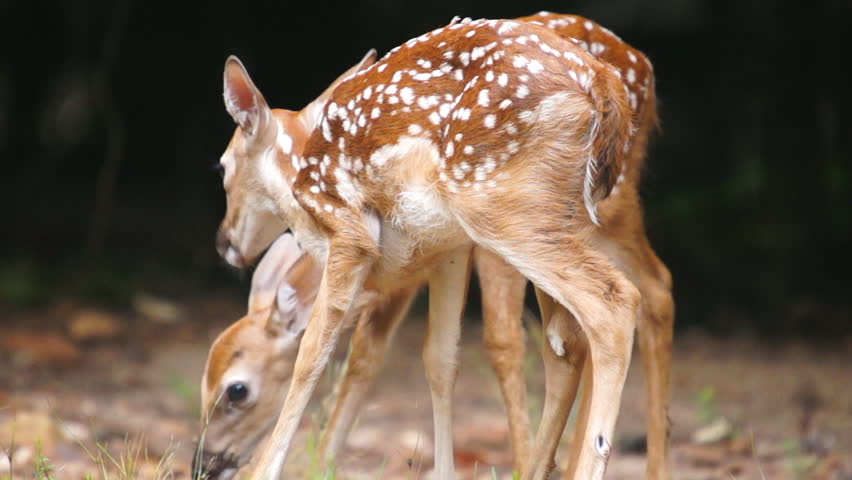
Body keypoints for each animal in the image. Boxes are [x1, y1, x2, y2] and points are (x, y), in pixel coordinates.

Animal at [201, 13, 672, 480]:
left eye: (236, 391)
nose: (224, 242)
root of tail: (608, 81)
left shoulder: (349, 231)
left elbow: (313, 355)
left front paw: (270, 470)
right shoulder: (446, 249)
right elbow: (438, 359)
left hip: (505, 209)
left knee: (612, 303)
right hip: (559, 216)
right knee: (580, 332)